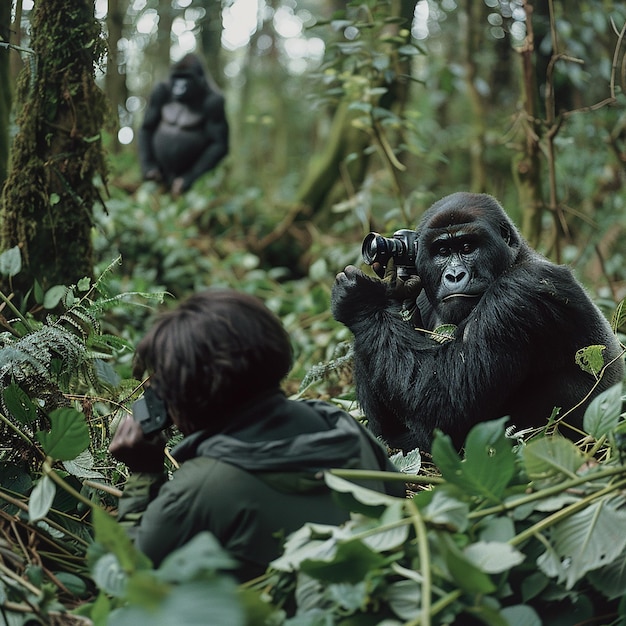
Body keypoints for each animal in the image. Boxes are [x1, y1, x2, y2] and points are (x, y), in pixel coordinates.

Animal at [139, 53, 229, 196]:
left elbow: (218, 143)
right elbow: (148, 127)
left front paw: (186, 180)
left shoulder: (216, 102)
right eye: (177, 77)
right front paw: (149, 168)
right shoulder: (159, 91)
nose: (179, 87)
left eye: (187, 77)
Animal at [330, 193, 620, 450]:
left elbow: (447, 398)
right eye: (442, 251)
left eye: (468, 248)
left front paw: (361, 302)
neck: (514, 259)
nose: (455, 275)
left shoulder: (520, 292)